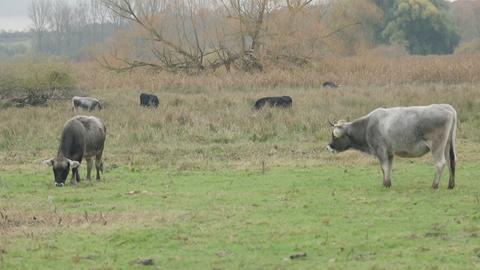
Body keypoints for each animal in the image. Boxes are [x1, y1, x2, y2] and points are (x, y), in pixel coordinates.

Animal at [326, 104, 458, 189]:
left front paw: (385, 184)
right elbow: (388, 168)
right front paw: (388, 183)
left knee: (440, 163)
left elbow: (384, 167)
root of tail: (448, 108)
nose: (328, 147)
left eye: (335, 136)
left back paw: (434, 185)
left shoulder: (381, 151)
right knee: (451, 162)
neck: (367, 125)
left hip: (437, 146)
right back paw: (450, 185)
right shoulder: (389, 153)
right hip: (447, 145)